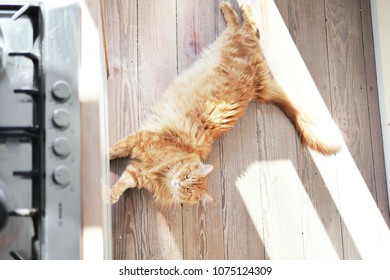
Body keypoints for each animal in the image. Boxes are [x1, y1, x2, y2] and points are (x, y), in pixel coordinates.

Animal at [107, 0, 342, 206]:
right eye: (187, 176)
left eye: (189, 189)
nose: (180, 184)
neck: (167, 169)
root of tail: (258, 88)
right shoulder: (141, 140)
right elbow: (115, 149)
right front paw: (105, 155)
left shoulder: (137, 172)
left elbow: (121, 183)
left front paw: (108, 196)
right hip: (233, 40)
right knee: (248, 24)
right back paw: (230, 6)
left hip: (231, 40)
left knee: (243, 25)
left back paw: (229, 8)